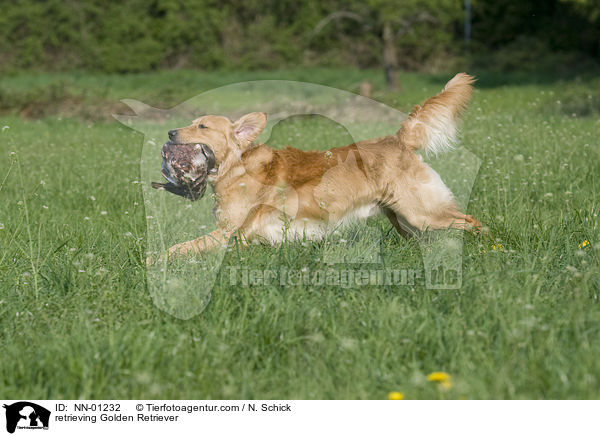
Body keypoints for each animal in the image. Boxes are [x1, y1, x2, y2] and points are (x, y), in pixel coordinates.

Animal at [162, 73, 480, 258]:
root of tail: (397, 140)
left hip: (422, 214)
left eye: (201, 126)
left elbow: (180, 247)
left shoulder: (227, 234)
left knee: (473, 222)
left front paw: (156, 259)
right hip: (406, 221)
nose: (170, 133)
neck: (236, 168)